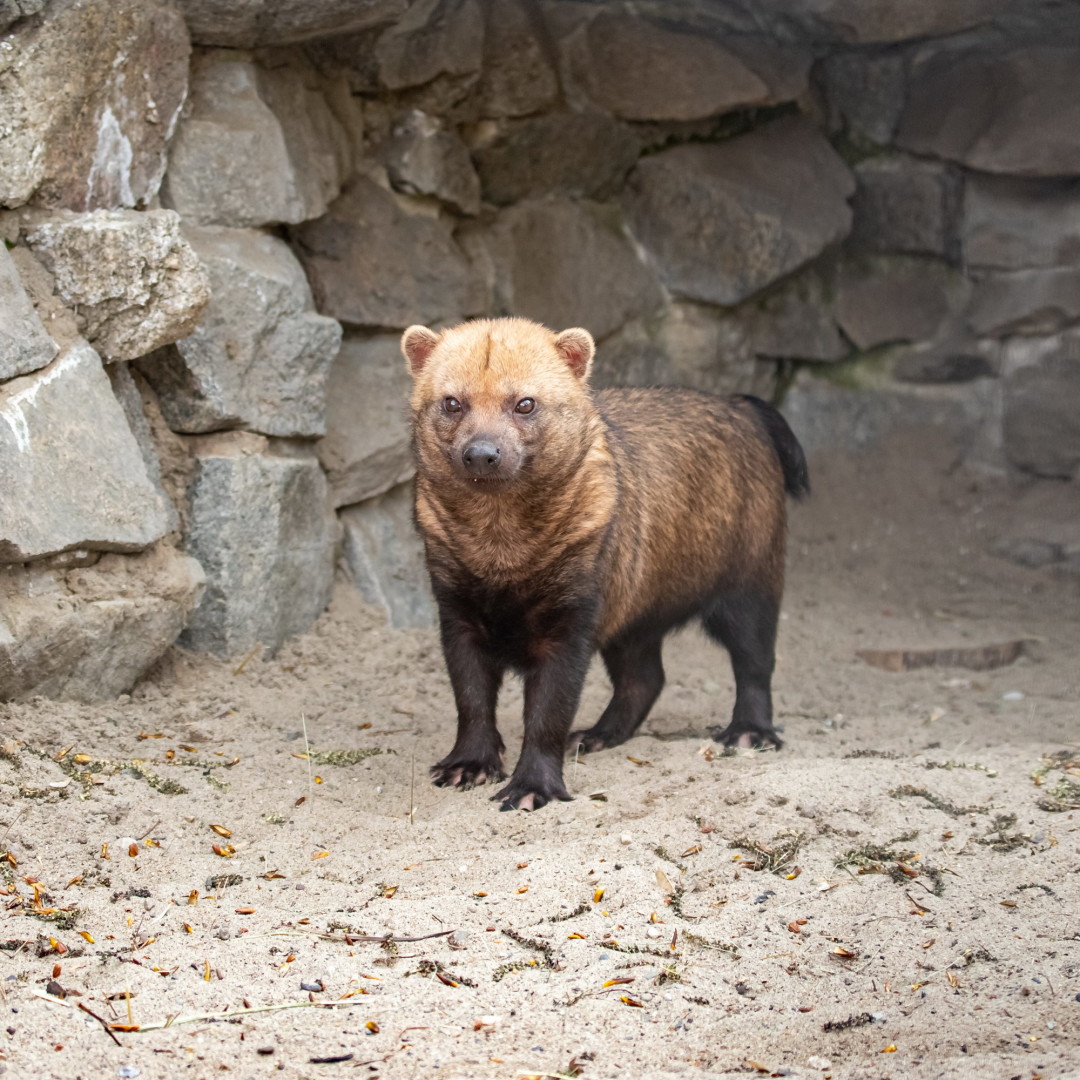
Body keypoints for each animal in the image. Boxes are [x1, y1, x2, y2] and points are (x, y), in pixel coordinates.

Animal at [401, 317, 807, 812]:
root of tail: (742, 406)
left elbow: (548, 711)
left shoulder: (572, 616)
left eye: (525, 403)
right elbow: (471, 698)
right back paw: (594, 736)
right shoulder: (456, 611)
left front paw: (531, 790)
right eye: (452, 402)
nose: (482, 452)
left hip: (750, 583)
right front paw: (466, 766)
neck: (503, 559)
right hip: (635, 613)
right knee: (645, 678)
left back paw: (750, 733)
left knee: (755, 660)